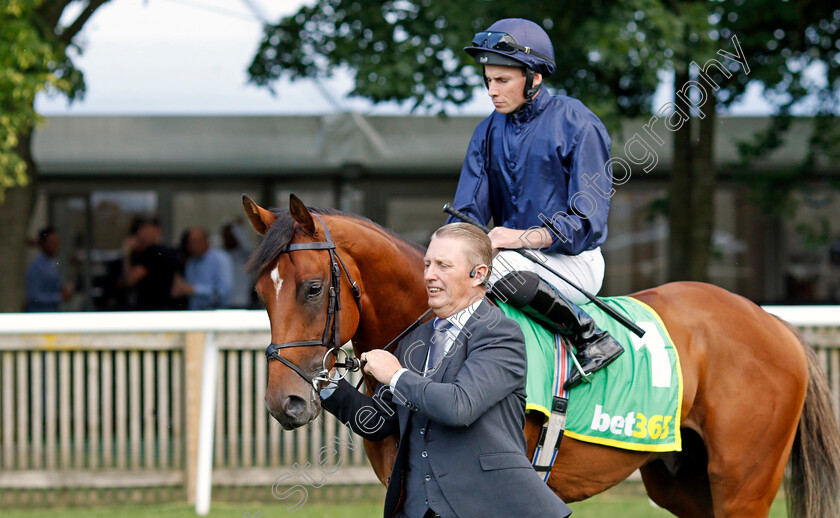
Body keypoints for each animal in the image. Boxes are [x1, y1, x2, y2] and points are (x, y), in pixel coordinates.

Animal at [243, 195, 840, 518]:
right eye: (261, 293)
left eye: (313, 289)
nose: (284, 403)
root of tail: (771, 322)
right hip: (683, 482)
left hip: (744, 484)